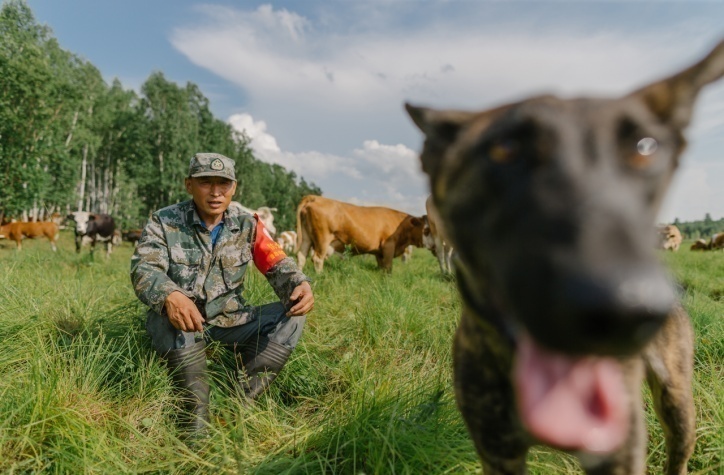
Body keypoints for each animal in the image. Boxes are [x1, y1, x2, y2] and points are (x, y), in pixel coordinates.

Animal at [404, 39, 720, 474]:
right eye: (504, 149)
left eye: (645, 149)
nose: (620, 308)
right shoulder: (497, 450)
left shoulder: (620, 452)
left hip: (677, 404)